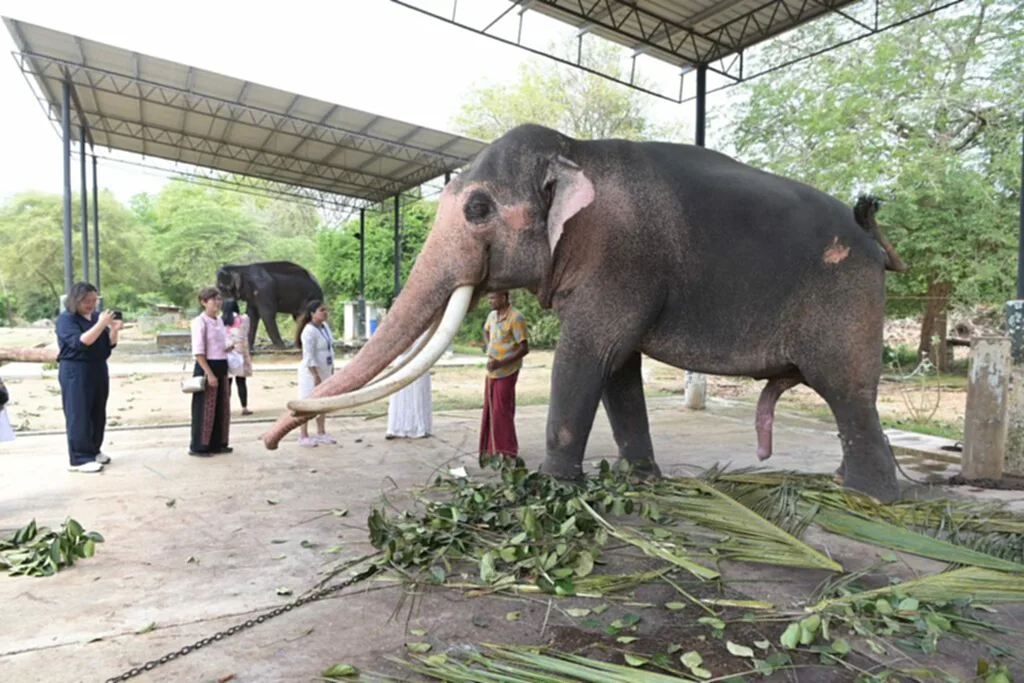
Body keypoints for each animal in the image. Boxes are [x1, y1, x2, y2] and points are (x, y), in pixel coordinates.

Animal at [260, 125, 909, 505]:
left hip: (845, 299)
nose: (268, 442)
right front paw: (641, 481)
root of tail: (872, 235)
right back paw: (851, 487)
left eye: (477, 209)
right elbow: (618, 368)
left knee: (847, 391)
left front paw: (553, 486)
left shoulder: (619, 258)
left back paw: (871, 500)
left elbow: (586, 353)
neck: (576, 152)